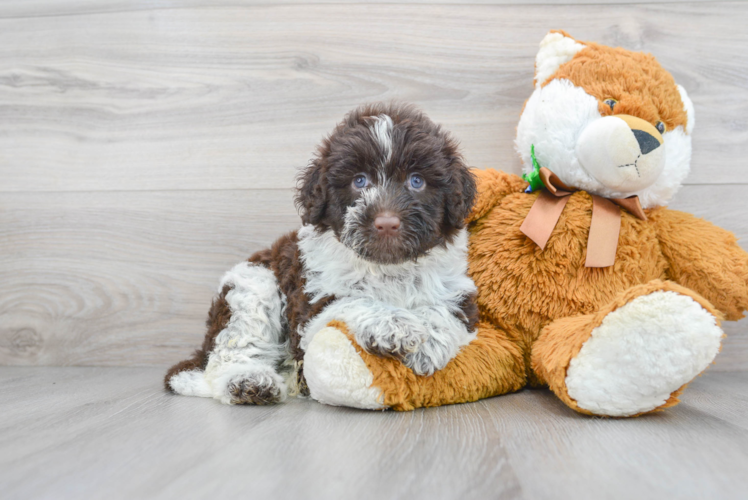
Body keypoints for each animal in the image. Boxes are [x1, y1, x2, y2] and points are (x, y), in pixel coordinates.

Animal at [164, 103, 480, 404]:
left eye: (416, 181)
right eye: (359, 181)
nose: (387, 222)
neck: (387, 268)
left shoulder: (458, 292)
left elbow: (443, 310)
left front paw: (429, 343)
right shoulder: (312, 307)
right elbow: (353, 299)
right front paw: (395, 326)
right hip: (253, 286)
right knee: (225, 357)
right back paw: (248, 382)